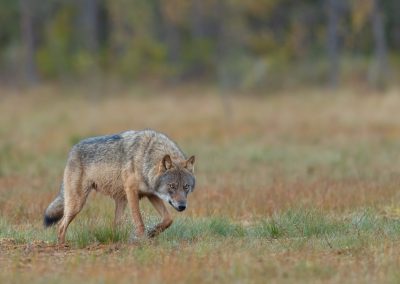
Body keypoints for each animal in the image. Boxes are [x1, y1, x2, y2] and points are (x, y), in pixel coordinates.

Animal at [43, 129, 196, 244]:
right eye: (172, 186)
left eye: (186, 187)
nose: (182, 206)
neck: (146, 157)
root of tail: (72, 150)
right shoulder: (132, 191)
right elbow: (139, 221)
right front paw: (143, 240)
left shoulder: (150, 194)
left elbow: (168, 219)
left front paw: (152, 232)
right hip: (77, 204)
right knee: (60, 225)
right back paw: (62, 246)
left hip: (120, 202)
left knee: (114, 226)